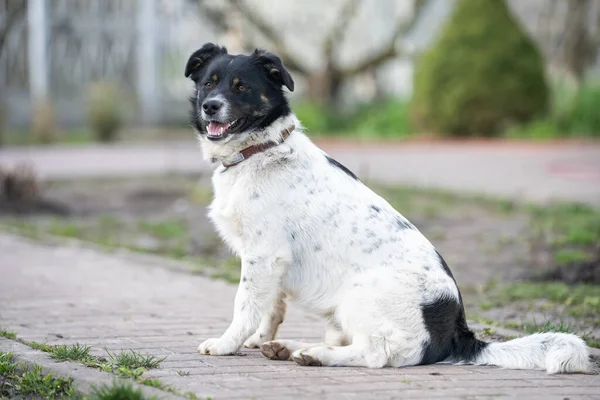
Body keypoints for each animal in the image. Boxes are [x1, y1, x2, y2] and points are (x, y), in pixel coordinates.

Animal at [186, 42, 592, 374]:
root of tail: (458, 332)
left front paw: (227, 344)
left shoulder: (264, 254)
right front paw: (257, 339)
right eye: (209, 82)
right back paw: (288, 347)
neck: (260, 150)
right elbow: (272, 306)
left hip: (358, 293)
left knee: (377, 353)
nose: (210, 106)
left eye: (241, 86)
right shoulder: (272, 262)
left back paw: (315, 355)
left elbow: (245, 305)